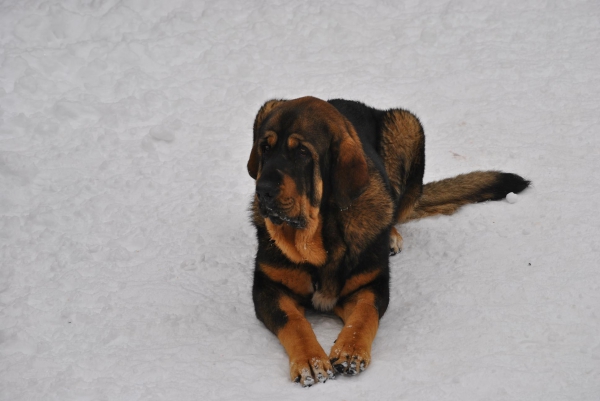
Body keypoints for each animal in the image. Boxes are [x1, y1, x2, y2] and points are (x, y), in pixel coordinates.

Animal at [246, 95, 528, 386]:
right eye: (265, 148)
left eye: (302, 152)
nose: (262, 191)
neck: (320, 236)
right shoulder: (268, 287)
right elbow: (294, 322)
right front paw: (310, 361)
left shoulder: (371, 284)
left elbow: (365, 315)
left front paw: (351, 350)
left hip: (408, 126)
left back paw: (391, 236)